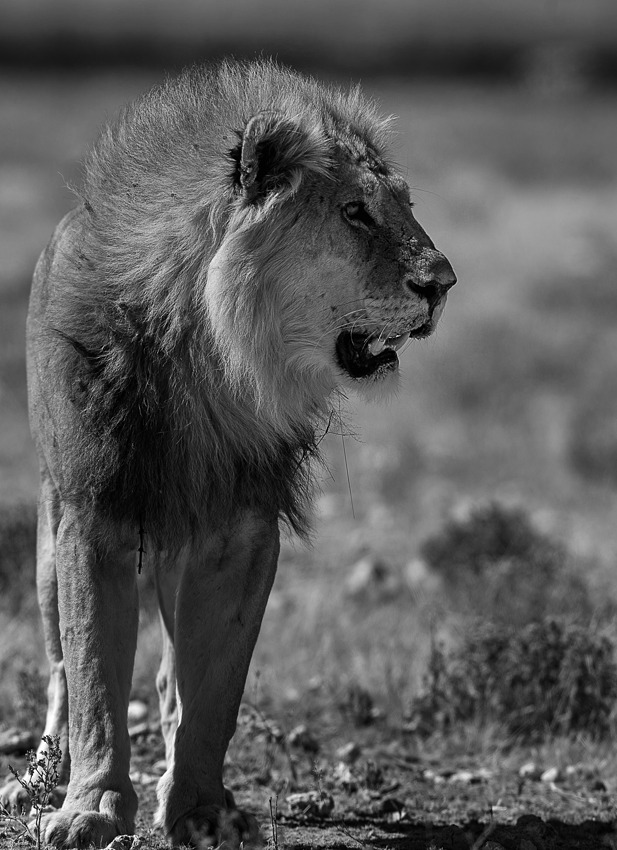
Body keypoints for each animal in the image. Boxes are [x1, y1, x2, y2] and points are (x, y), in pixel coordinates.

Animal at [1, 59, 455, 847]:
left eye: (403, 206)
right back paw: (39, 778)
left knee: (170, 679)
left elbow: (213, 689)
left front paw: (201, 810)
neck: (213, 358)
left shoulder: (243, 528)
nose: (444, 284)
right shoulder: (92, 516)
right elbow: (93, 674)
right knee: (58, 667)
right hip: (49, 529)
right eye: (354, 213)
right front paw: (91, 807)